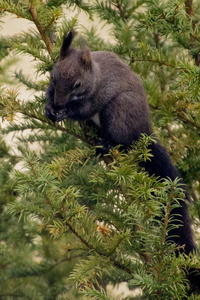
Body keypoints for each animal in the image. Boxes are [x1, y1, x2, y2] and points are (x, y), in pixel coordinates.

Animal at [44, 31, 199, 290]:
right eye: (54, 77)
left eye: (77, 84)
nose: (58, 104)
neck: (94, 76)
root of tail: (143, 130)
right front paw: (48, 107)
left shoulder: (95, 98)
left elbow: (83, 109)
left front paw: (65, 112)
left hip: (117, 112)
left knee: (122, 141)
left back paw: (106, 144)